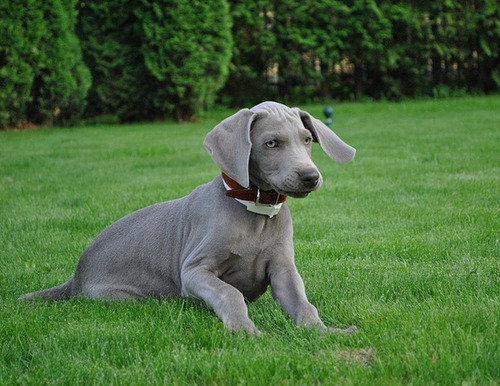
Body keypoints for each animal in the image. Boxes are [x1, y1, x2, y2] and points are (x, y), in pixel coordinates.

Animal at [19, 102, 356, 334]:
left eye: (307, 139)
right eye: (271, 143)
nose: (310, 177)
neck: (255, 211)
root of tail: (76, 277)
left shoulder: (283, 269)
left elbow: (303, 303)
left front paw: (327, 332)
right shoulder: (194, 270)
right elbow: (230, 293)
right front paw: (243, 329)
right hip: (125, 297)